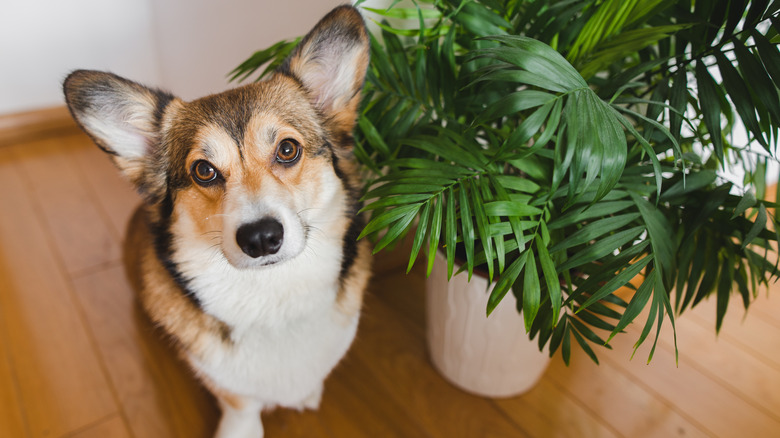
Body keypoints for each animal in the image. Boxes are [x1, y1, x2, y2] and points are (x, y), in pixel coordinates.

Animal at [62, 6, 374, 438]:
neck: (273, 298)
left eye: (288, 149)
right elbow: (240, 404)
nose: (260, 238)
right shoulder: (226, 384)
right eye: (204, 171)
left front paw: (308, 393)